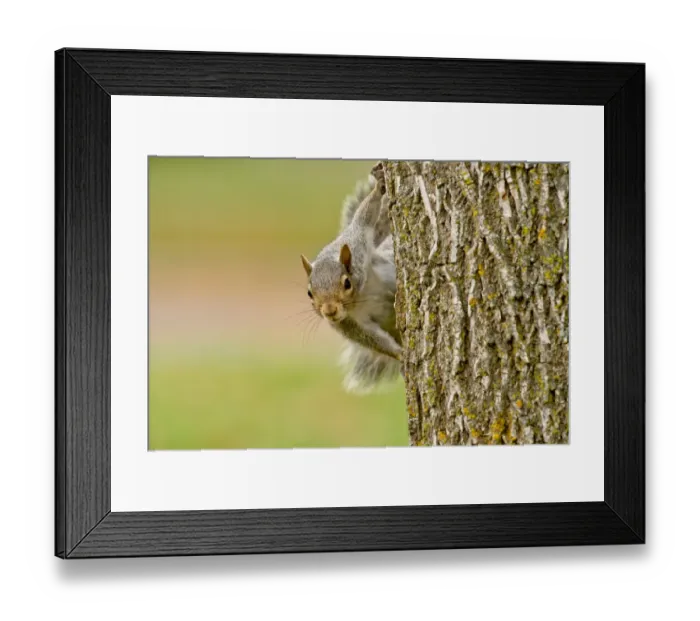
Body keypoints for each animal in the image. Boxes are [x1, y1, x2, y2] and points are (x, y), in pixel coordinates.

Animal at [301, 163, 402, 394]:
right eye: (309, 293)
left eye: (347, 283)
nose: (329, 312)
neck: (358, 299)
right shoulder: (348, 324)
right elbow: (373, 340)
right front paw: (402, 354)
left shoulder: (358, 245)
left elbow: (362, 220)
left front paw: (379, 189)